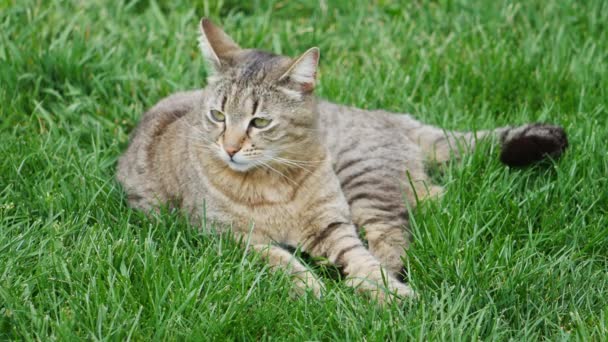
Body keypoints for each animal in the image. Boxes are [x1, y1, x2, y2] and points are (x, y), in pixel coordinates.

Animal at [116, 18, 568, 304]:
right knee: (431, 199)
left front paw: (384, 290)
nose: (228, 147)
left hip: (362, 182)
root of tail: (390, 117)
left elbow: (361, 258)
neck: (272, 185)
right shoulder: (230, 238)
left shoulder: (332, 224)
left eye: (259, 121)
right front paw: (314, 288)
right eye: (218, 115)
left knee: (392, 233)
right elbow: (282, 262)